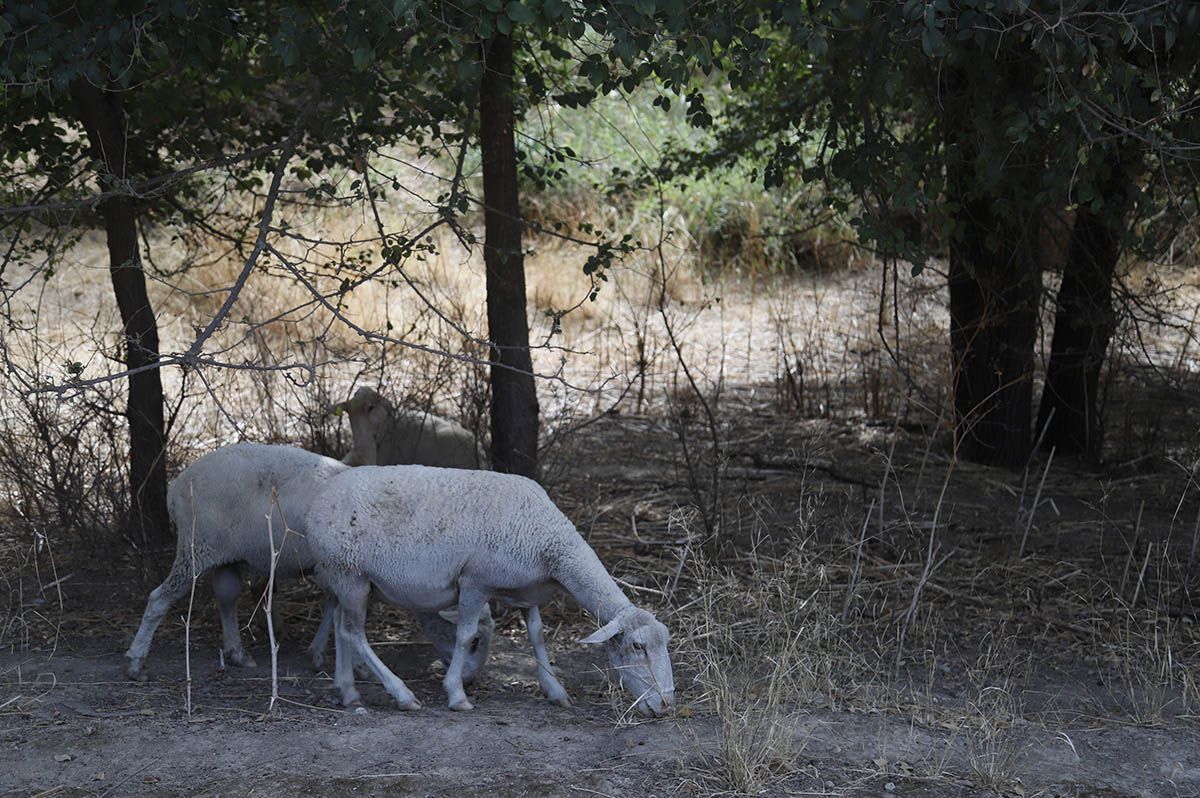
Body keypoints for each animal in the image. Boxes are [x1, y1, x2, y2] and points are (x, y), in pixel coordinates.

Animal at [123, 441, 492, 676]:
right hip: (196, 546)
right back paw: (136, 660)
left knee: (226, 599)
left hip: (226, 554)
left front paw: (321, 655)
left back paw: (238, 654)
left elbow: (335, 606)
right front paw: (353, 664)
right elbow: (344, 609)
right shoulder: (347, 568)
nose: (471, 680)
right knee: (159, 598)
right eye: (474, 642)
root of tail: (176, 487)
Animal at [304, 463, 676, 710]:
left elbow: (537, 634)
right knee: (354, 633)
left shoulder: (526, 591)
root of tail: (319, 499)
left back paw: (348, 692)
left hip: (349, 578)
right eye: (638, 647)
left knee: (342, 627)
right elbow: (465, 635)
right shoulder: (474, 581)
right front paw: (456, 695)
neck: (553, 544)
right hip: (348, 572)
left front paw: (554, 690)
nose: (666, 706)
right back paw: (402, 694)